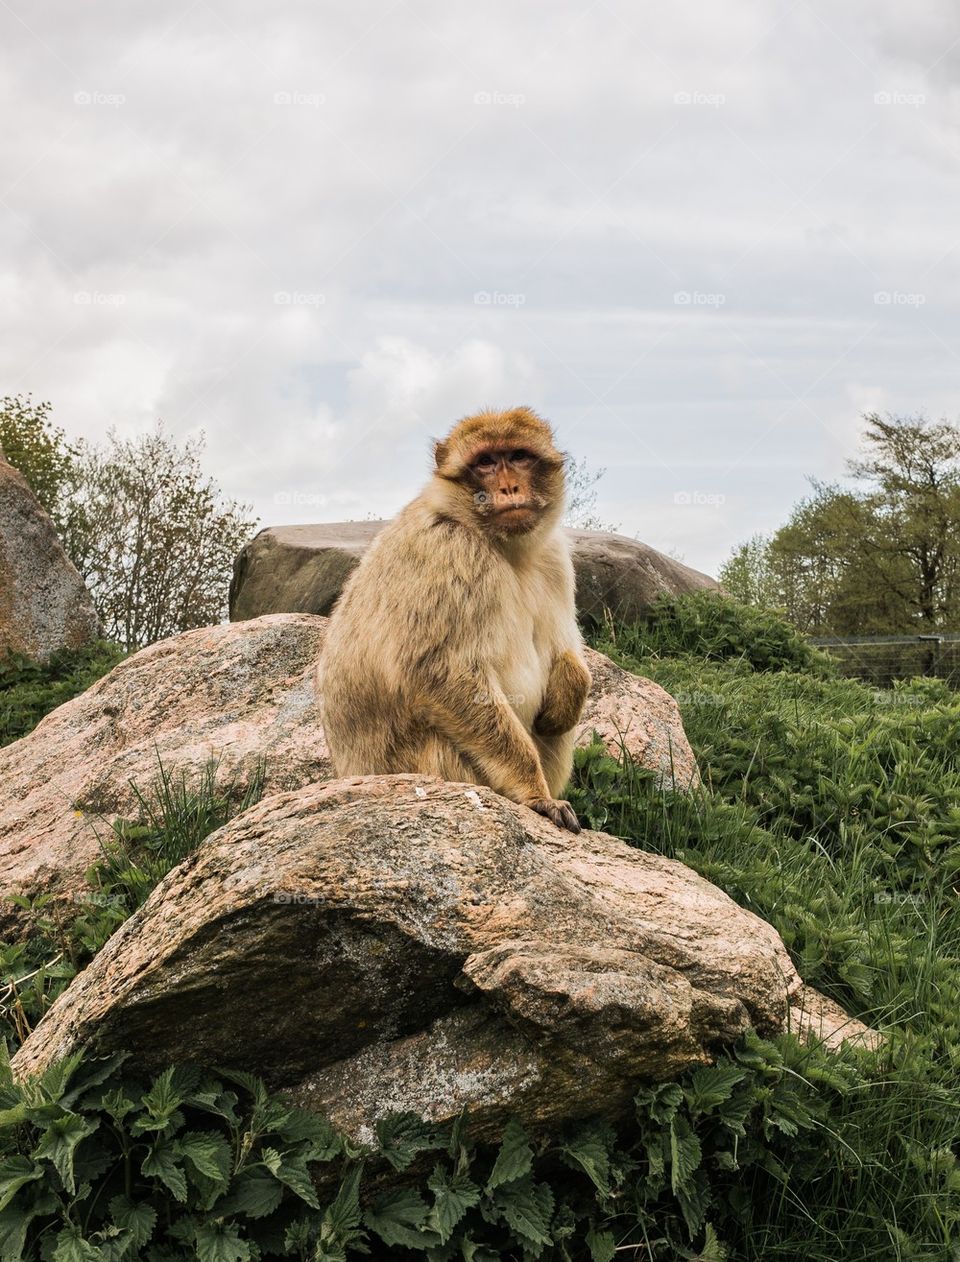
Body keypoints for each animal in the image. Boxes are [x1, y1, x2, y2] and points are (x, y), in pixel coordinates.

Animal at [317, 408, 592, 832]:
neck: (504, 548)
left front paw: (571, 687)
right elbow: (437, 671)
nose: (509, 487)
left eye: (518, 456)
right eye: (485, 462)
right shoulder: (451, 551)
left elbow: (566, 651)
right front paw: (535, 793)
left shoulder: (554, 557)